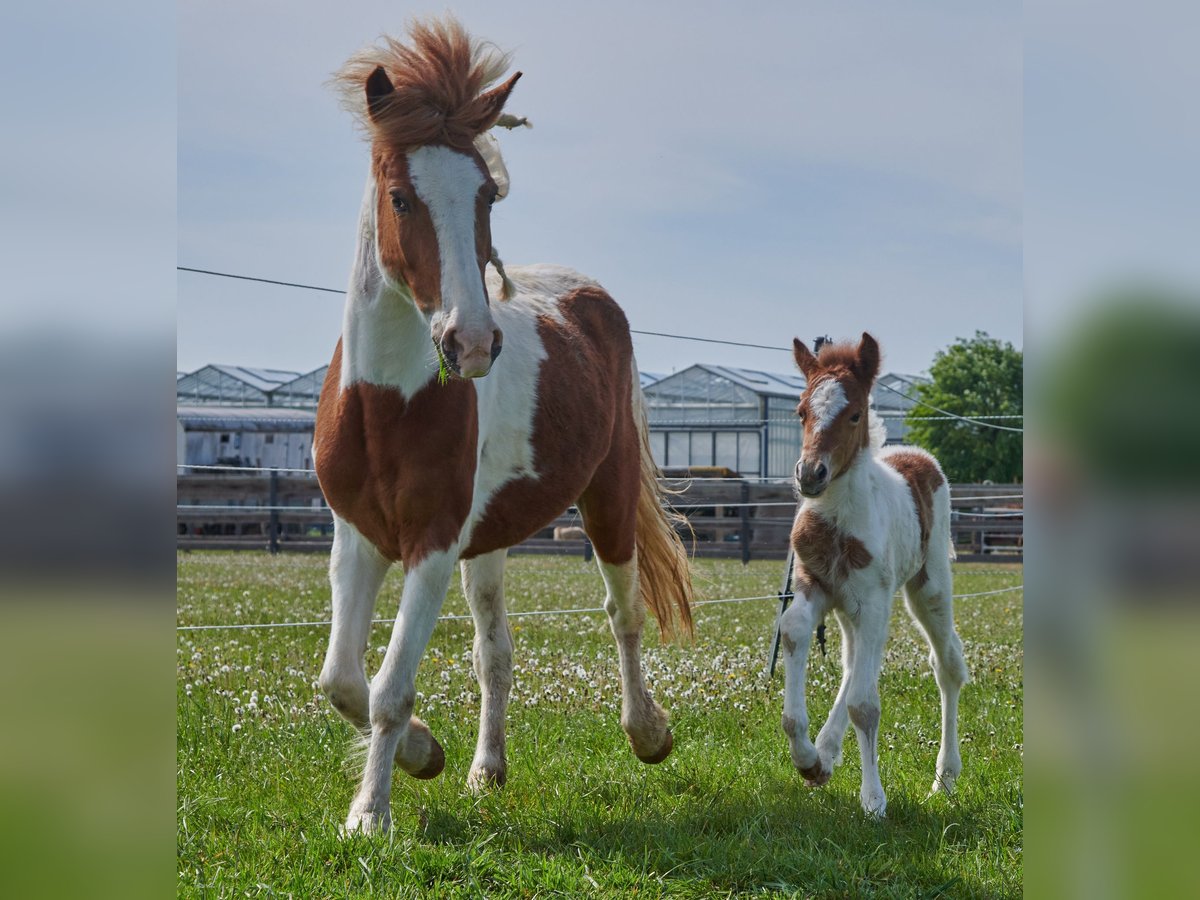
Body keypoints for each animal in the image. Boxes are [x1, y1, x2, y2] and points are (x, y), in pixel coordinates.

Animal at [314, 17, 696, 835]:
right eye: (400, 197)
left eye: (487, 192)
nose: (473, 343)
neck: (386, 407)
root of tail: (591, 296)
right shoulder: (357, 537)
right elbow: (342, 679)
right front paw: (426, 755)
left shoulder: (429, 544)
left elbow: (390, 686)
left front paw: (370, 815)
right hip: (485, 544)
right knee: (497, 653)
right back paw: (486, 770)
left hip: (607, 500)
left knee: (623, 613)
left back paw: (648, 731)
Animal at [777, 333, 964, 816]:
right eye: (800, 411)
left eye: (855, 414)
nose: (810, 474)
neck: (838, 521)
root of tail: (915, 453)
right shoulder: (815, 586)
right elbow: (794, 629)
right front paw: (808, 760)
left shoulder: (872, 599)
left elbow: (865, 704)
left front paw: (874, 800)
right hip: (852, 608)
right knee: (852, 663)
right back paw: (825, 754)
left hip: (926, 587)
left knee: (947, 664)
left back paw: (945, 778)